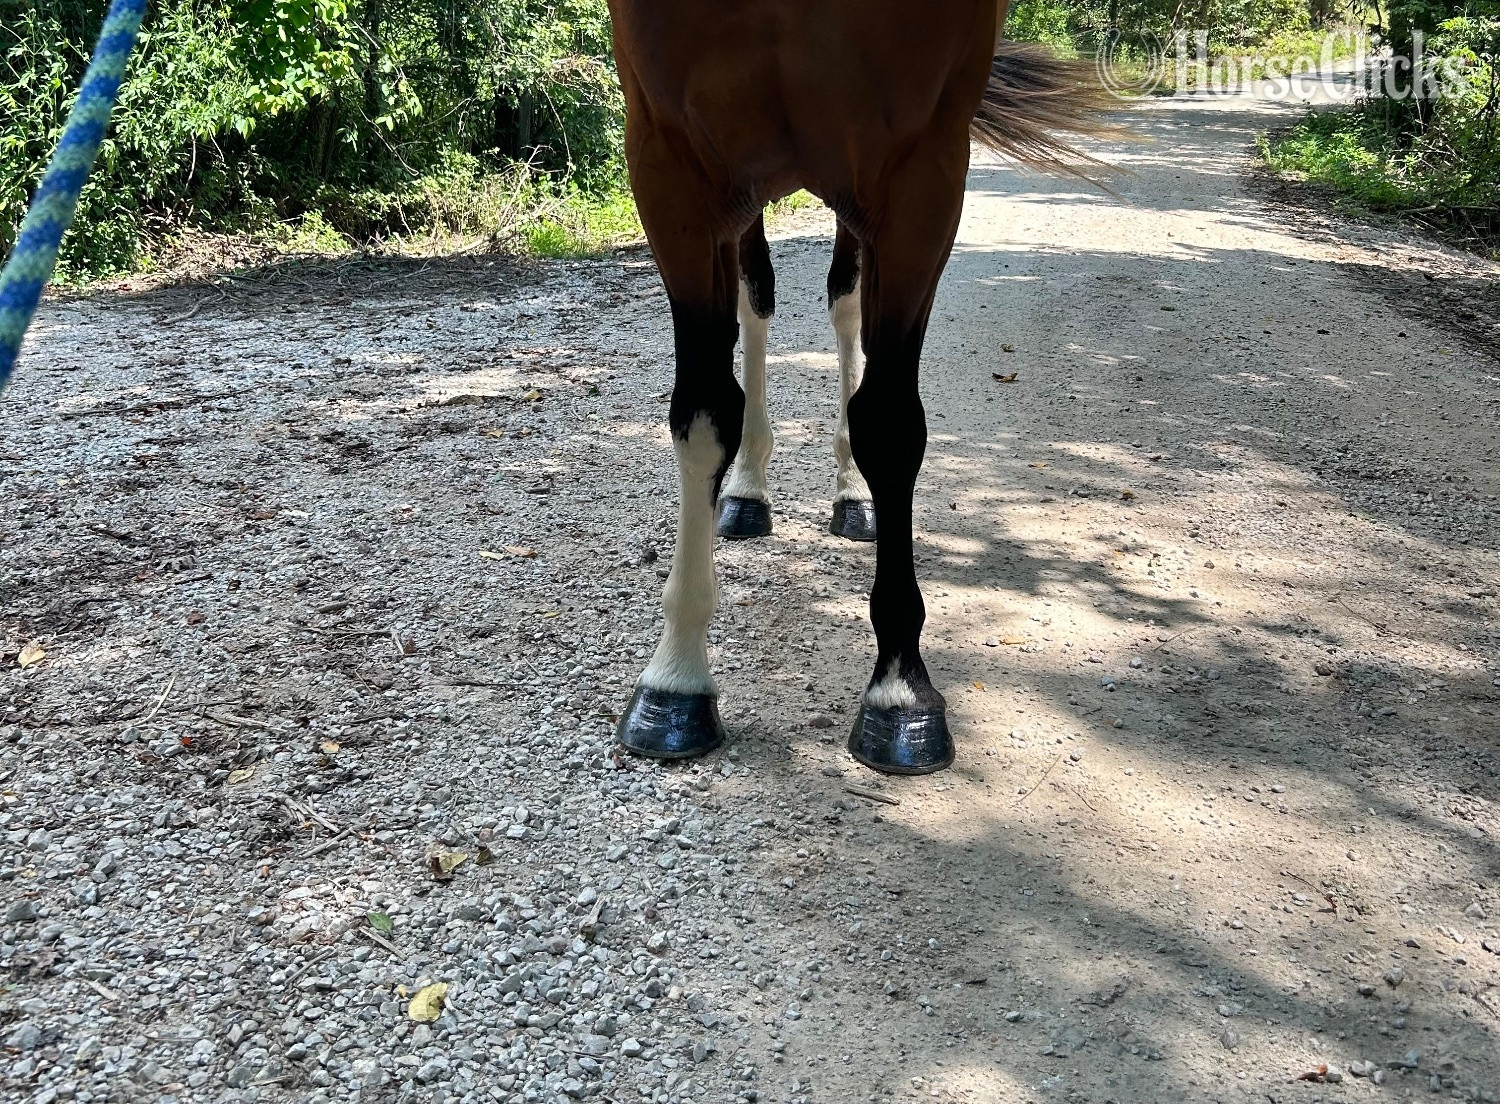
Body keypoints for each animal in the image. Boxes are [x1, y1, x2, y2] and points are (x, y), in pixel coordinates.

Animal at [607, 0, 1114, 774]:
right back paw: (747, 492)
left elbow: (889, 421)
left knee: (845, 302)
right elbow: (703, 412)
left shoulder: (923, 165)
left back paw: (853, 496)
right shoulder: (669, 158)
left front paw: (899, 690)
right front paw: (675, 683)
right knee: (757, 297)